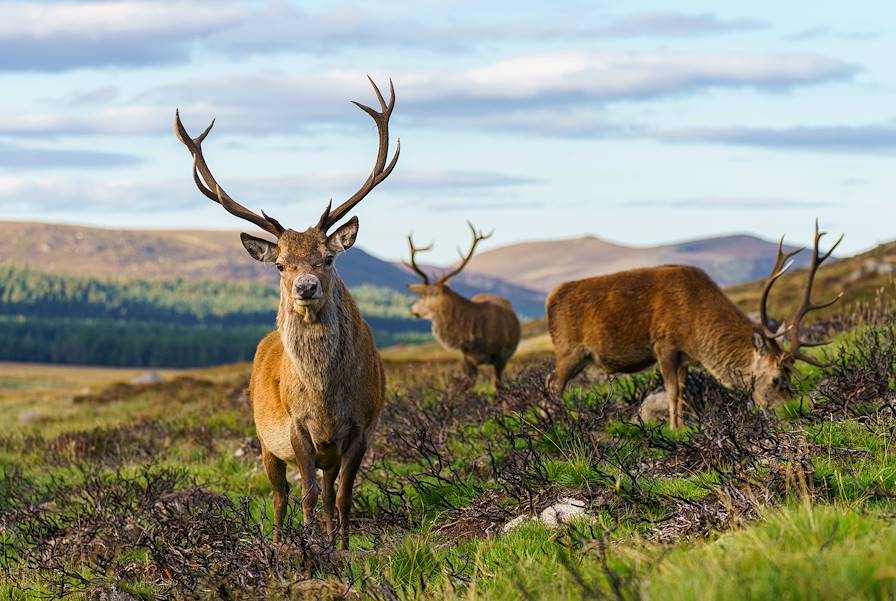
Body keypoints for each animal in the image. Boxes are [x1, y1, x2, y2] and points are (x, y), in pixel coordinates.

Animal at [175, 77, 400, 548]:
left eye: (328, 258)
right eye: (280, 264)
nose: (306, 287)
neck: (326, 399)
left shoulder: (363, 426)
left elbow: (344, 496)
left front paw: (342, 547)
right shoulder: (296, 428)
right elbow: (307, 497)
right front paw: (309, 546)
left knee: (329, 491)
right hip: (264, 440)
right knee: (280, 498)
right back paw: (279, 543)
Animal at [544, 223, 844, 428]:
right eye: (776, 379)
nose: (790, 409)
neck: (698, 335)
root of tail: (549, 299)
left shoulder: (684, 358)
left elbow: (683, 392)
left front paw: (685, 424)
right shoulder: (664, 344)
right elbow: (672, 392)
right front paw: (674, 428)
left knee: (548, 382)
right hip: (568, 351)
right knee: (554, 386)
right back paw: (559, 426)